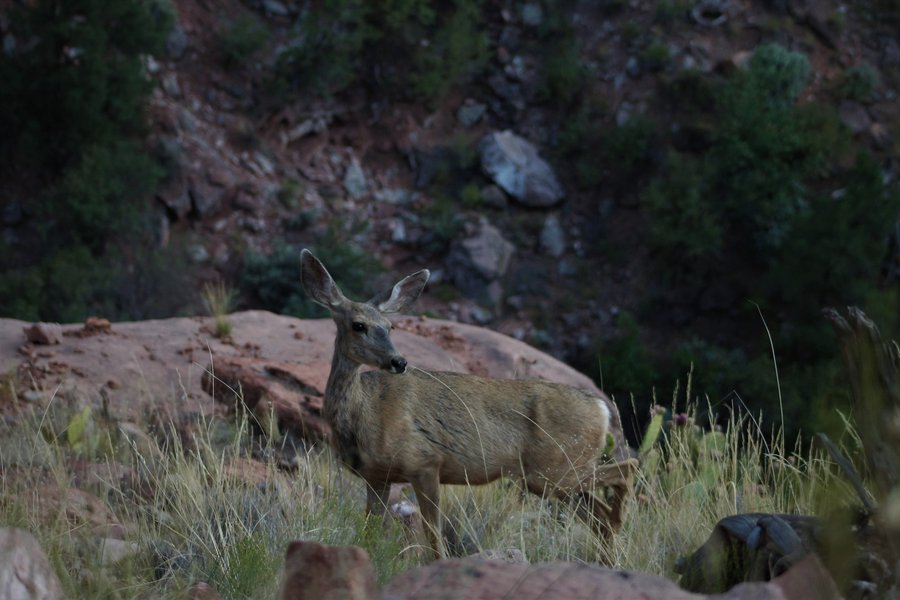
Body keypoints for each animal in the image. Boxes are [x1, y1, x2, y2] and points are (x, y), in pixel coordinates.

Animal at [300, 249, 638, 559]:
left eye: (390, 326)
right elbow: (369, 532)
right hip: (559, 475)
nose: (398, 361)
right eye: (358, 325)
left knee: (626, 471)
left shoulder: (424, 461)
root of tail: (601, 409)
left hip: (554, 469)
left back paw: (619, 528)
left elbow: (433, 535)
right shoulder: (377, 476)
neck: (366, 415)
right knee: (599, 514)